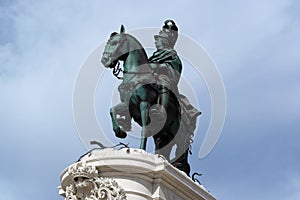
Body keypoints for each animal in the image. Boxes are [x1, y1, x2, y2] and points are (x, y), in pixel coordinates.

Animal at [100, 25, 183, 162]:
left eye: (115, 43)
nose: (104, 60)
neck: (135, 75)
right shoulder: (128, 104)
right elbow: (112, 110)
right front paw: (120, 132)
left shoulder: (145, 103)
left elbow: (145, 130)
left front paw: (141, 150)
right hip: (163, 134)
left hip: (174, 132)